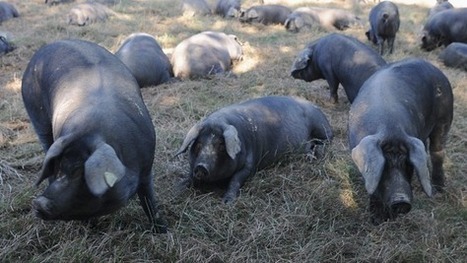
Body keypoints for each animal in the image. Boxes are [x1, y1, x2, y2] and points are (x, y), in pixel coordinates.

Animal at [22, 39, 168, 233]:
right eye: (61, 167)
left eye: (81, 174)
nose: (38, 203)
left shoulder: (147, 167)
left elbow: (149, 202)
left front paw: (162, 230)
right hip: (37, 116)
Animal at [175, 96, 332, 203]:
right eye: (199, 144)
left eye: (220, 145)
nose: (201, 167)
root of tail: (316, 106)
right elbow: (189, 177)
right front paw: (177, 187)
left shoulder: (250, 165)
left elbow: (236, 180)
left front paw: (227, 202)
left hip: (321, 129)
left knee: (325, 141)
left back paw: (315, 155)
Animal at [352, 58, 454, 226]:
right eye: (383, 166)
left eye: (409, 164)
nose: (401, 201)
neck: (390, 128)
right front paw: (377, 220)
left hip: (445, 117)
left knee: (437, 152)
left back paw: (438, 189)